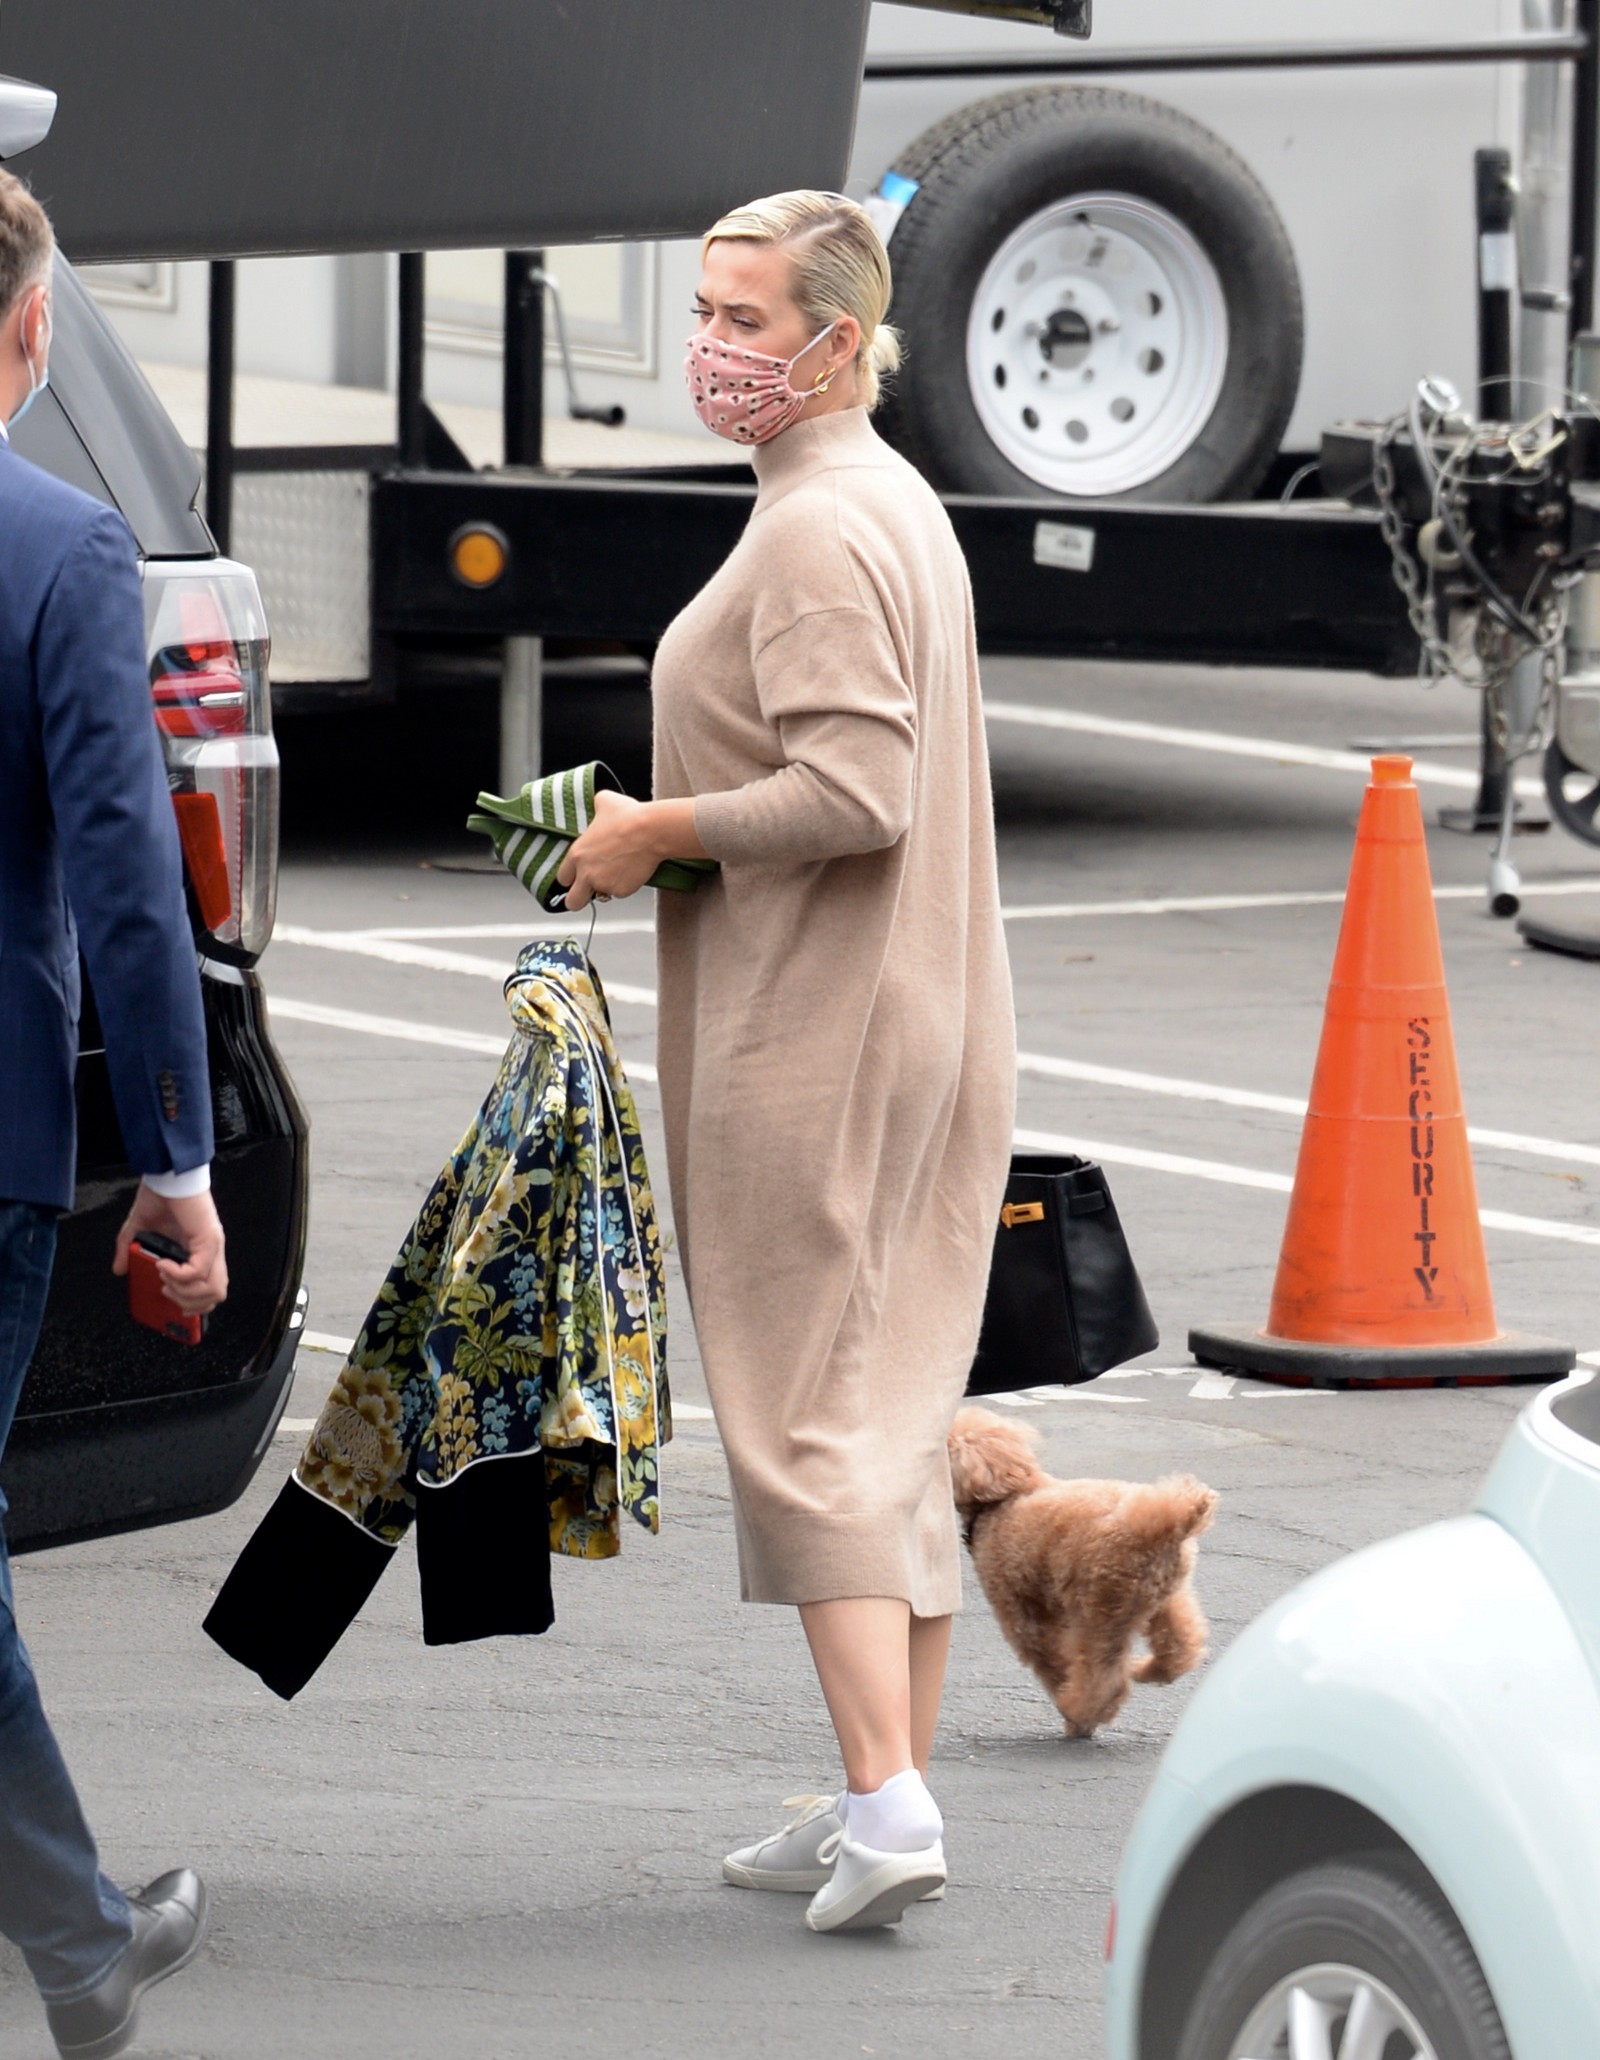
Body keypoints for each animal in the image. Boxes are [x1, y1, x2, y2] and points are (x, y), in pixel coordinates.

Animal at [947, 1406, 1217, 1737]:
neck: (1003, 1498)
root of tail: (1162, 1525)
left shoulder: (1020, 1609)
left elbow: (1046, 1654)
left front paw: (1063, 1691)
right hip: (1163, 1597)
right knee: (1180, 1646)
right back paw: (1147, 1670)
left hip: (1102, 1606)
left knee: (1103, 1677)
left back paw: (1078, 1715)